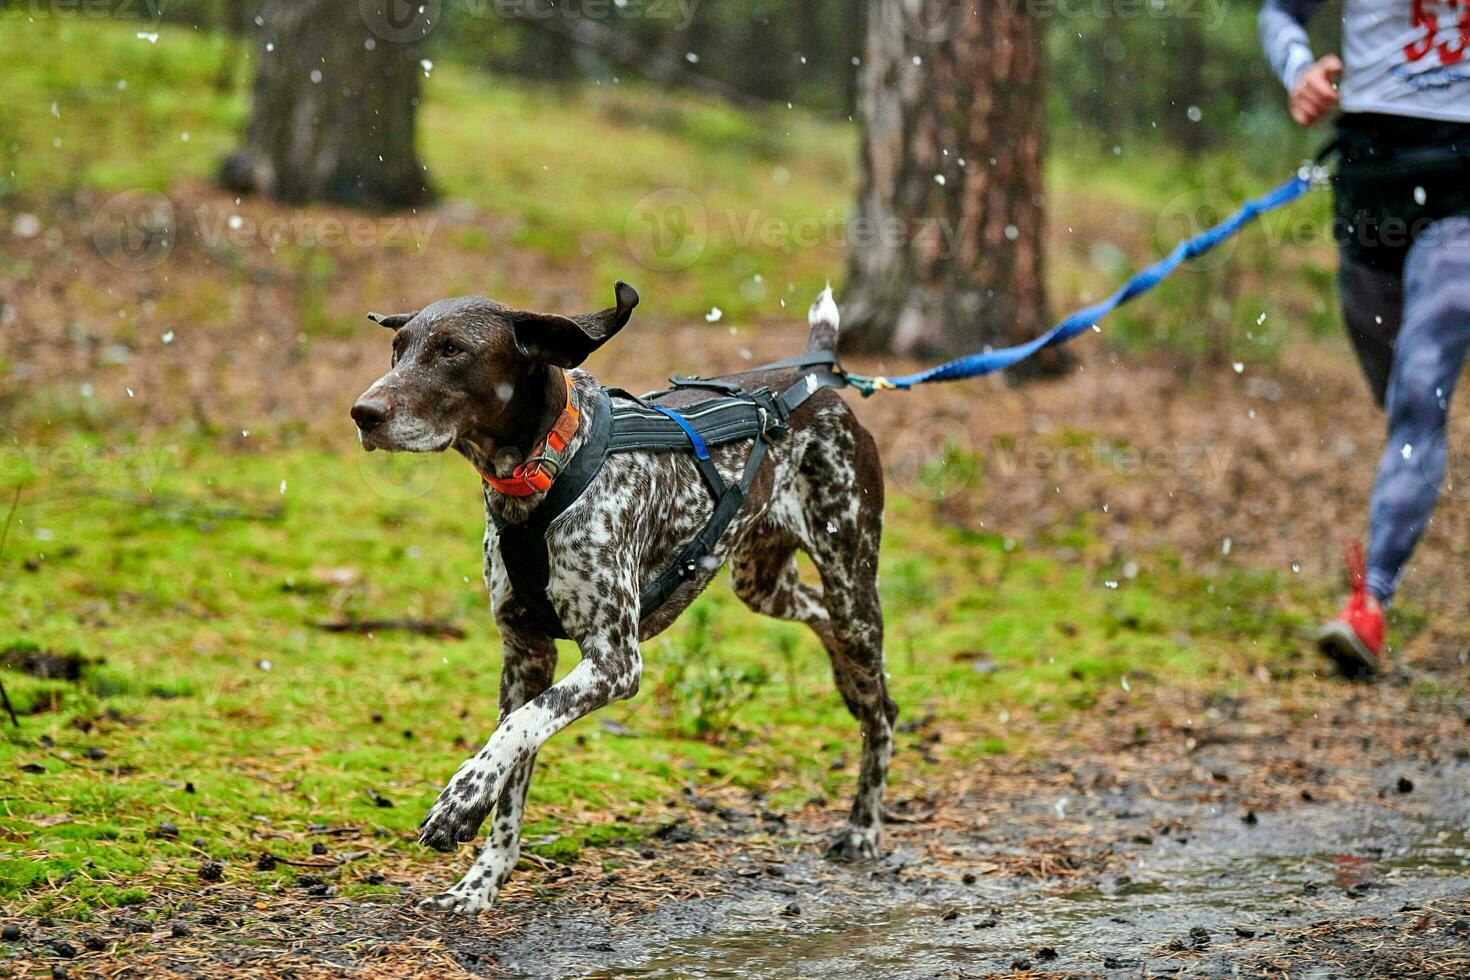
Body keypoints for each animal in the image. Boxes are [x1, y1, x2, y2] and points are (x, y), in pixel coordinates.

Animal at [352, 282, 893, 910]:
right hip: (762, 584)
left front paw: (461, 798)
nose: (363, 412)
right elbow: (515, 770)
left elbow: (517, 730)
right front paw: (482, 881)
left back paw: (863, 825)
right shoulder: (526, 657)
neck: (542, 474)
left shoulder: (614, 661)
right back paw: (846, 684)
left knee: (881, 707)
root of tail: (814, 383)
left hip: (852, 585)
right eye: (397, 349)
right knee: (822, 621)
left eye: (452, 351)